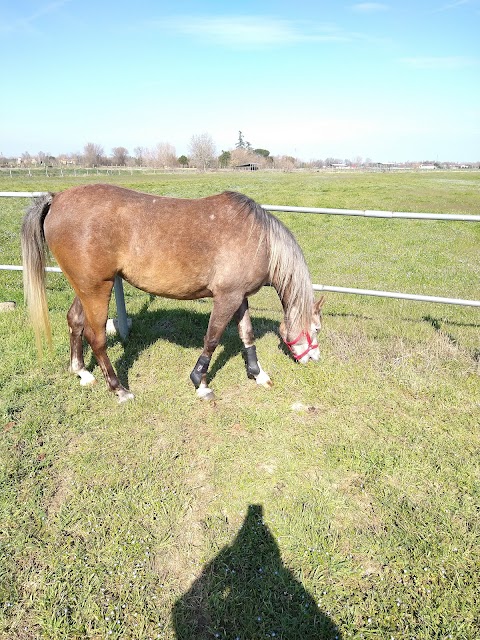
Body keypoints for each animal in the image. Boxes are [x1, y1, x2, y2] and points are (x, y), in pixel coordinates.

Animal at [20, 185, 324, 402]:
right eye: (317, 329)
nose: (314, 359)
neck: (259, 239)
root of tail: (57, 198)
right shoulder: (226, 298)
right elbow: (212, 339)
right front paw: (200, 383)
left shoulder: (239, 297)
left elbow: (246, 335)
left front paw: (258, 374)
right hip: (96, 289)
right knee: (96, 338)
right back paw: (119, 390)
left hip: (85, 287)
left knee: (75, 321)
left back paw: (82, 372)